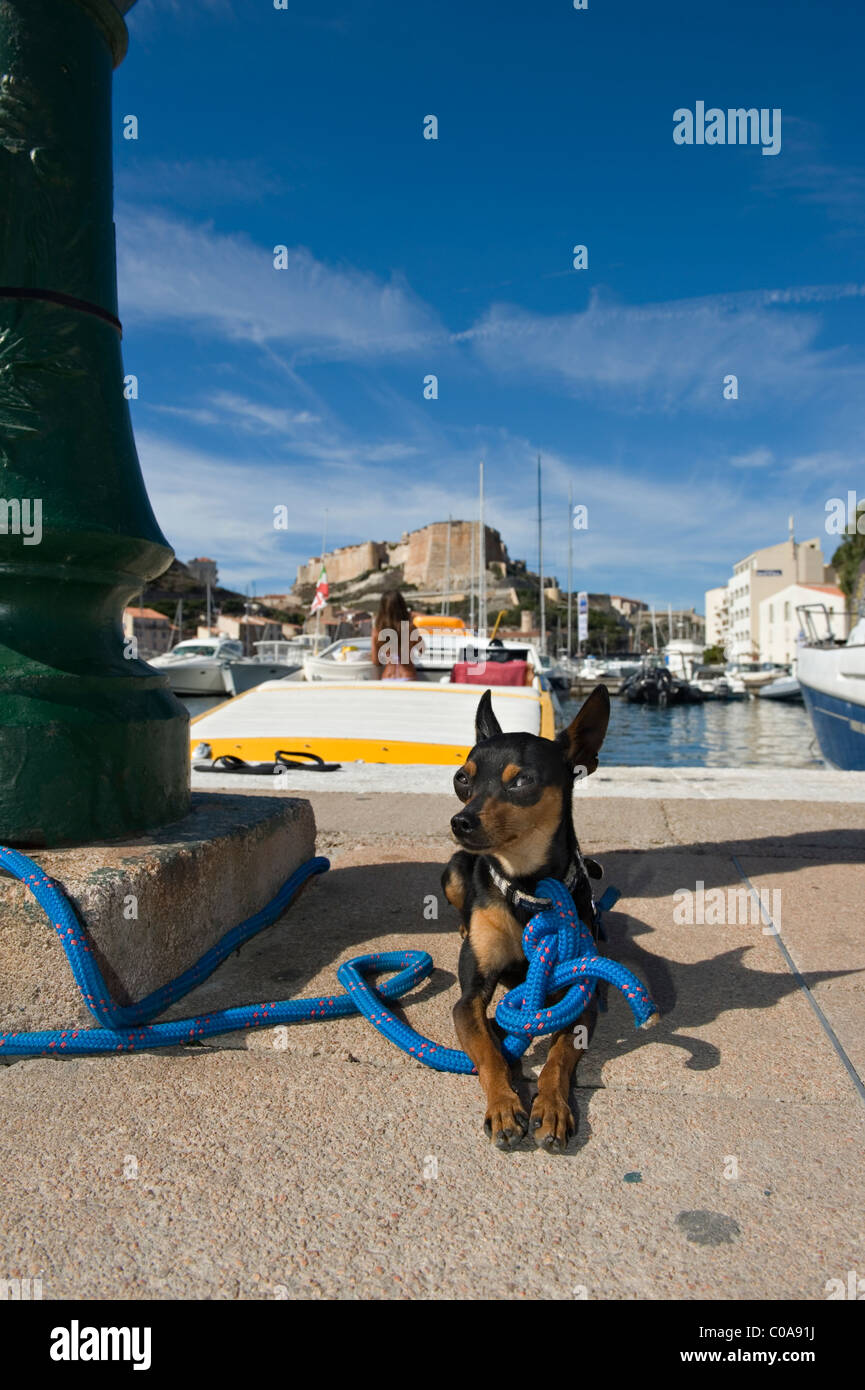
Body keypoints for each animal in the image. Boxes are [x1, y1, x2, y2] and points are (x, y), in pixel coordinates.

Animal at [447, 683, 609, 1150]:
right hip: (455, 870)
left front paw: (551, 1107)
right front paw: (504, 1106)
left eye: (522, 781)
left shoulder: (580, 993)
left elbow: (559, 1056)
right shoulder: (468, 999)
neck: (527, 887)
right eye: (461, 778)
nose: (460, 821)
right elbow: (489, 1054)